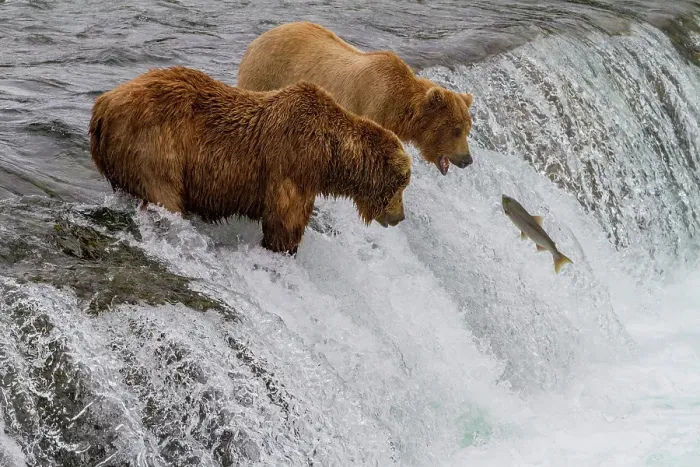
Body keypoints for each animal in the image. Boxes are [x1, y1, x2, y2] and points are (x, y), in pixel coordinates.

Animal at [89, 66, 411, 255]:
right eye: (402, 184)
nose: (400, 217)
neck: (330, 156)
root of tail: (102, 106)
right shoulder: (293, 161)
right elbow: (285, 219)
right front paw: (283, 249)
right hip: (154, 144)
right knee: (164, 193)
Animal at [236, 21, 474, 176]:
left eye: (467, 129)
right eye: (456, 130)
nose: (467, 159)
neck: (398, 106)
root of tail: (258, 39)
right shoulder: (370, 107)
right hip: (265, 75)